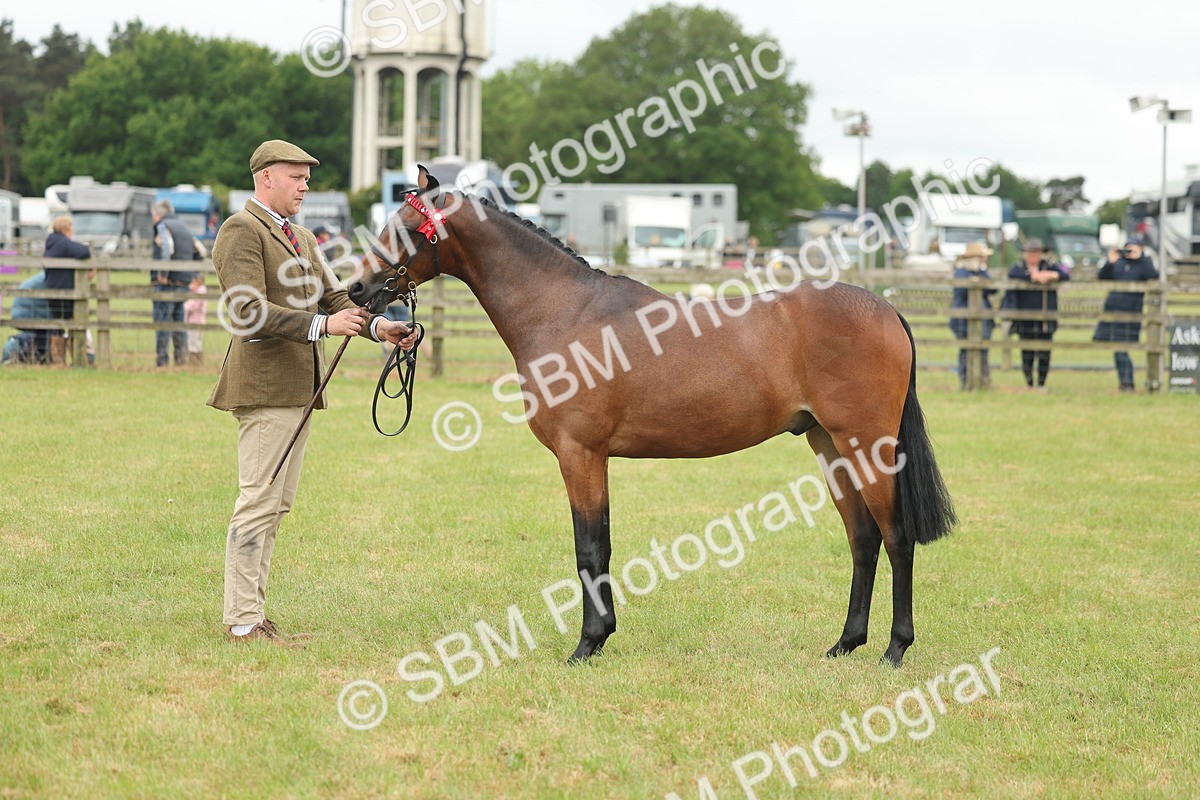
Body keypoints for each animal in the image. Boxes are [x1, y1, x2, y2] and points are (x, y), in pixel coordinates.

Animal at [348, 167, 956, 667]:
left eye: (407, 228)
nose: (356, 289)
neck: (565, 312)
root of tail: (885, 308)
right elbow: (600, 543)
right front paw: (600, 636)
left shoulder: (580, 454)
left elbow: (589, 547)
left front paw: (587, 644)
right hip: (829, 445)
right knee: (862, 539)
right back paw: (845, 643)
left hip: (867, 445)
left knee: (896, 537)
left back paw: (895, 650)